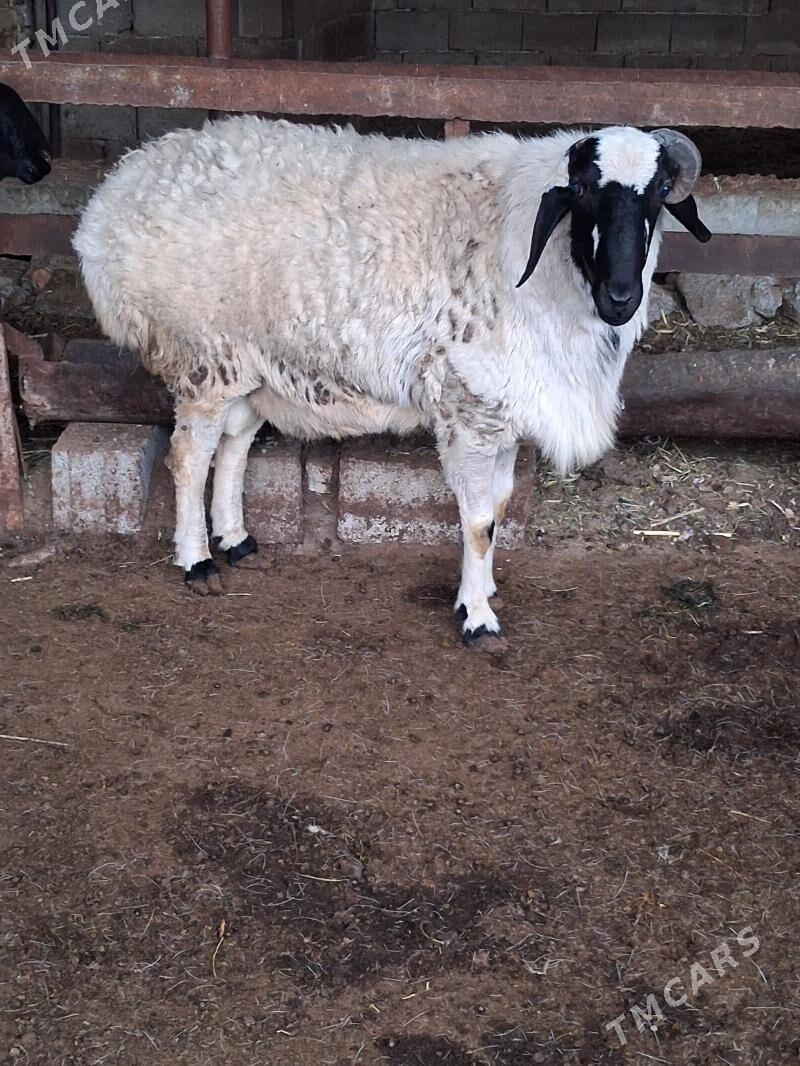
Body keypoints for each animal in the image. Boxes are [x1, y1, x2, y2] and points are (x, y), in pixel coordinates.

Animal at [74, 118, 710, 642]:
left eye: (658, 194)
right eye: (582, 194)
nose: (621, 296)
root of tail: (110, 201)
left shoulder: (499, 411)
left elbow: (500, 507)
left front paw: (483, 587)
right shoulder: (468, 407)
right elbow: (478, 522)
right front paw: (477, 617)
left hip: (253, 363)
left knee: (233, 445)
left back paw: (237, 541)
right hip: (203, 353)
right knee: (190, 455)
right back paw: (197, 560)